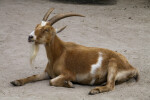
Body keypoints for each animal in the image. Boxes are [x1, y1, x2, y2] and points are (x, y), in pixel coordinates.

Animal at [11, 8, 139, 95]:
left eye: (46, 29)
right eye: (37, 26)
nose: (30, 37)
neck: (59, 54)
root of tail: (132, 67)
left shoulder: (69, 74)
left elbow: (52, 81)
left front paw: (69, 84)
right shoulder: (47, 73)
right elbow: (32, 77)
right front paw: (16, 81)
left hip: (113, 63)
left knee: (111, 86)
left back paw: (95, 90)